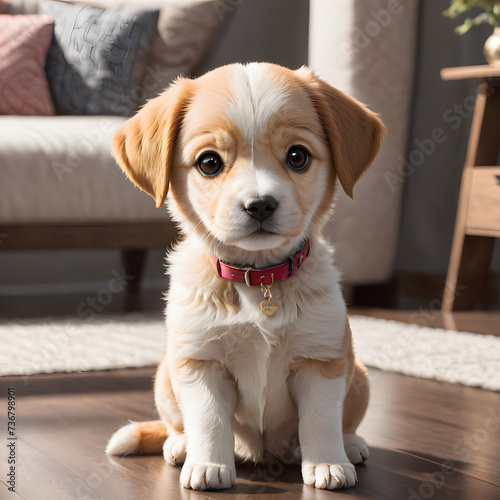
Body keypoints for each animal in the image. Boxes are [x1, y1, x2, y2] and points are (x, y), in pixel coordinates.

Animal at [106, 62, 386, 492]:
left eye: (297, 156)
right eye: (209, 163)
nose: (260, 205)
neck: (259, 279)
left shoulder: (321, 361)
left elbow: (321, 420)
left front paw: (327, 463)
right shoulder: (200, 363)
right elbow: (208, 421)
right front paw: (208, 464)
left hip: (358, 375)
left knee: (344, 423)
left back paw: (350, 445)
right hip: (166, 377)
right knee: (177, 425)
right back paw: (181, 446)